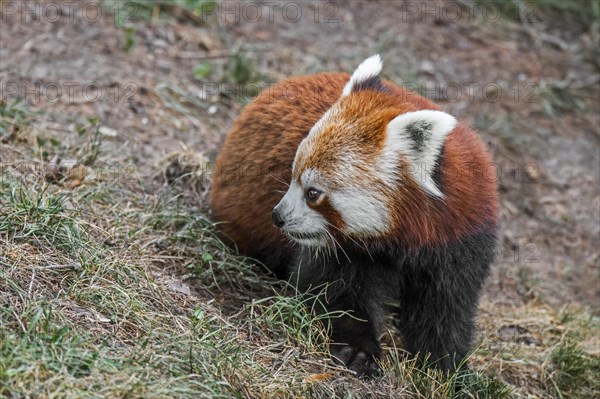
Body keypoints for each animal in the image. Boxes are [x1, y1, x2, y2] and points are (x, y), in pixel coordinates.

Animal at [210, 56, 496, 378]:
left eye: (313, 193)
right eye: (291, 177)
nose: (278, 216)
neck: (401, 238)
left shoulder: (461, 239)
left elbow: (446, 309)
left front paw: (445, 369)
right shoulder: (340, 247)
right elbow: (331, 289)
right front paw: (360, 349)